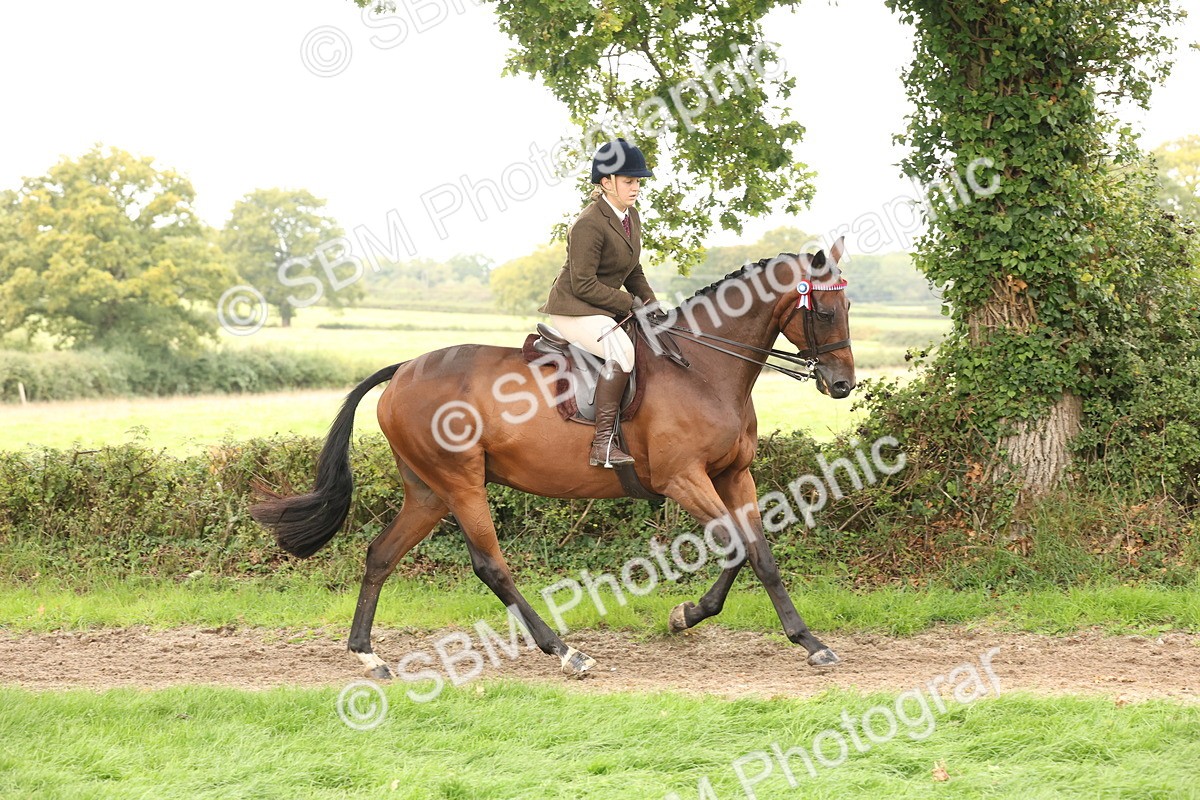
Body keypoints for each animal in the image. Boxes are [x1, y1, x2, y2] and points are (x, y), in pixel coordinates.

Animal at [251, 237, 856, 679]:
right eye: (825, 311)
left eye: (848, 305)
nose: (843, 384)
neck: (705, 369)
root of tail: (401, 371)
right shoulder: (683, 479)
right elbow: (744, 549)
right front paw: (795, 639)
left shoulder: (733, 475)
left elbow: (755, 551)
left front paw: (698, 618)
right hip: (461, 481)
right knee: (490, 565)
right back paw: (566, 652)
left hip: (427, 491)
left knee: (380, 555)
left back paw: (367, 654)